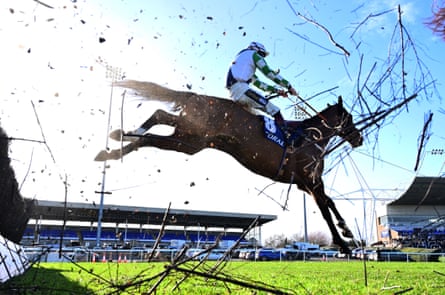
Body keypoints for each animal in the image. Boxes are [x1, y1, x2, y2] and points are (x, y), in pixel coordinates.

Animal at [93, 81, 360, 254]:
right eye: (349, 118)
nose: (359, 138)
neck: (311, 137)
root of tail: (197, 97)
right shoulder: (312, 181)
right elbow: (326, 209)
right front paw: (343, 243)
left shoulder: (306, 184)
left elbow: (330, 202)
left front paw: (347, 231)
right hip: (190, 138)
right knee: (151, 134)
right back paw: (119, 142)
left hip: (188, 138)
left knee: (158, 117)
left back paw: (118, 139)